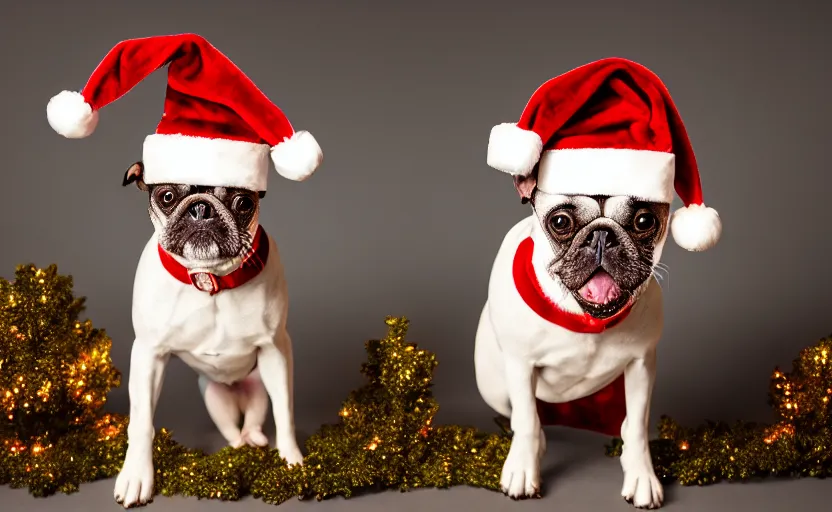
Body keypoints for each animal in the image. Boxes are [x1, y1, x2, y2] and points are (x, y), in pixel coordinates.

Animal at [44, 34, 324, 510]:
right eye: (168, 196)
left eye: (243, 201)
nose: (201, 209)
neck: (210, 282)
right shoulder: (148, 355)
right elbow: (140, 423)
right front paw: (136, 477)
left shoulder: (276, 351)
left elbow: (286, 413)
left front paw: (292, 462)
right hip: (213, 398)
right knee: (230, 430)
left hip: (255, 387)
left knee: (256, 420)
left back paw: (255, 441)